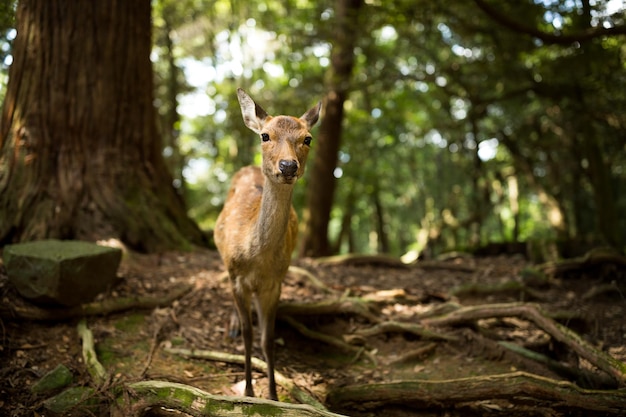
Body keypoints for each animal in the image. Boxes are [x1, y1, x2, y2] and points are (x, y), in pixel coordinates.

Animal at [214, 88, 322, 400]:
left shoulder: (276, 283)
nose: (287, 166)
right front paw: (249, 391)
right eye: (265, 135)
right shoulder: (237, 276)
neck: (257, 261)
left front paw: (273, 396)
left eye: (307, 138)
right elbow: (250, 337)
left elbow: (267, 339)